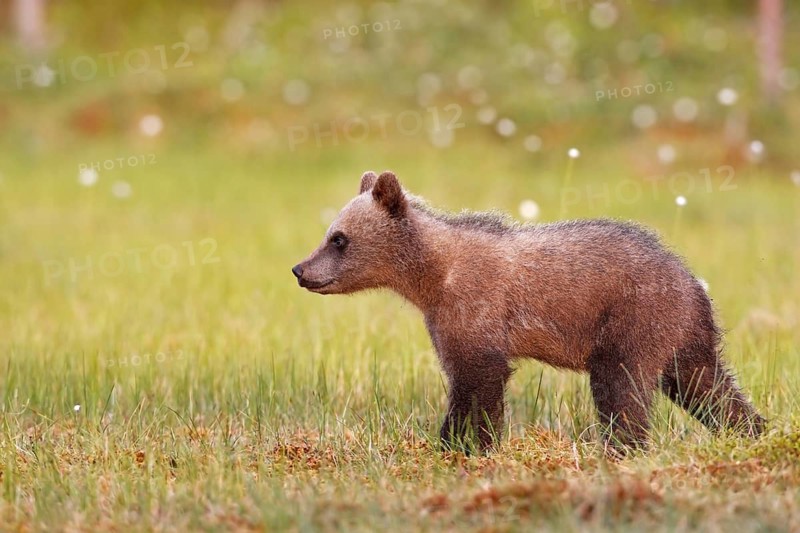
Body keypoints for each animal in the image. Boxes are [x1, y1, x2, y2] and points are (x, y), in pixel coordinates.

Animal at [292, 170, 765, 454]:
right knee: (707, 385)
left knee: (621, 385)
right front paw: (454, 444)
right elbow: (463, 379)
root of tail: (693, 281)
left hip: (635, 317)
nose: (300, 269)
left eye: (338, 238)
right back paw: (753, 431)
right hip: (684, 335)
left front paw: (467, 445)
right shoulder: (445, 322)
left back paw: (620, 448)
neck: (433, 277)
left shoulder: (477, 308)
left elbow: (480, 382)